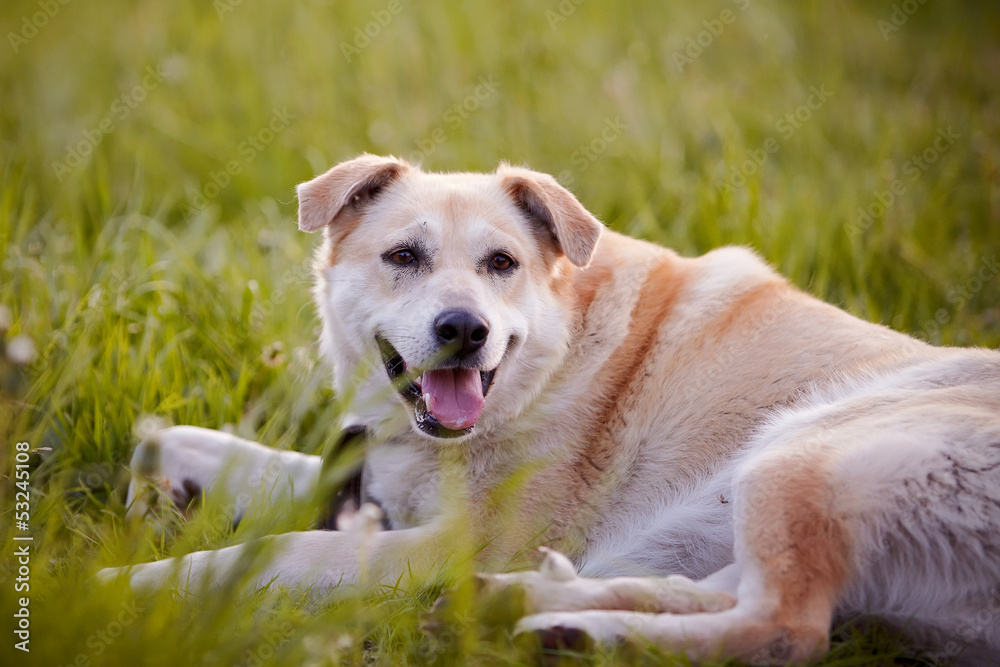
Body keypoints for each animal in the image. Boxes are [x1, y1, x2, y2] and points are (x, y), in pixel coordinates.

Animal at [101, 155, 1000, 664]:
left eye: (501, 263)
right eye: (404, 256)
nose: (463, 330)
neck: (548, 361)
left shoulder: (447, 541)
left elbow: (283, 550)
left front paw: (126, 583)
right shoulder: (368, 485)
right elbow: (176, 442)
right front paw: (152, 499)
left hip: (799, 452)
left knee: (784, 630)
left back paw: (566, 627)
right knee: (727, 599)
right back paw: (538, 608)